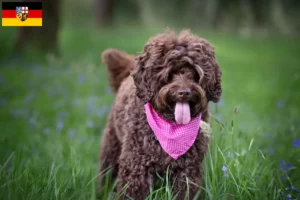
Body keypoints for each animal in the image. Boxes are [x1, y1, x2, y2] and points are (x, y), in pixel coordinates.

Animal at [99, 28, 221, 199]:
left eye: (195, 73)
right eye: (168, 74)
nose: (184, 92)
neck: (171, 126)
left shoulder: (187, 170)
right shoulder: (136, 165)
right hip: (112, 146)